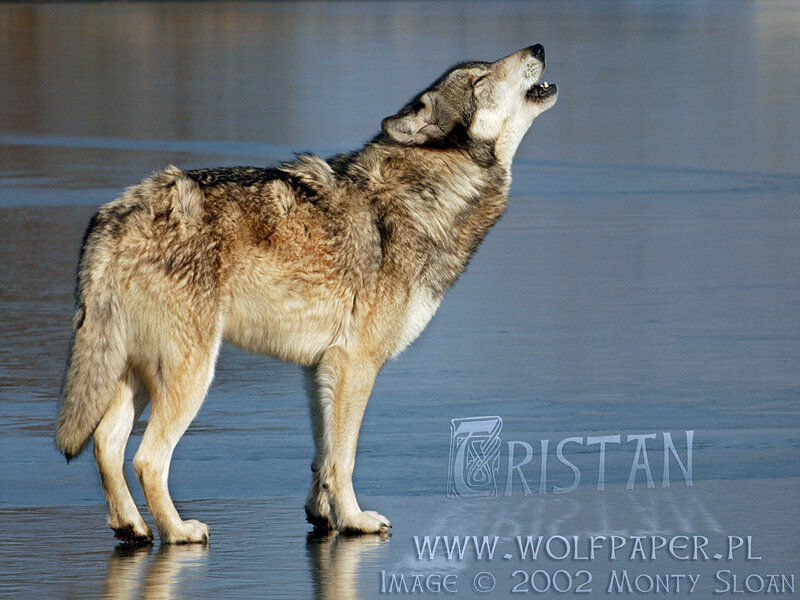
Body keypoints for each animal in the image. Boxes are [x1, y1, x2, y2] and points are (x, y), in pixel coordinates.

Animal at [55, 45, 557, 543]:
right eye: (480, 78)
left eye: (487, 67)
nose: (538, 47)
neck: (427, 192)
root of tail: (117, 213)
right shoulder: (356, 363)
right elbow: (344, 458)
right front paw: (355, 519)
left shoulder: (321, 367)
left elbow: (323, 455)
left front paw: (323, 514)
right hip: (190, 375)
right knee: (146, 458)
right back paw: (178, 531)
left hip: (137, 374)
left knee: (105, 443)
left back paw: (132, 527)